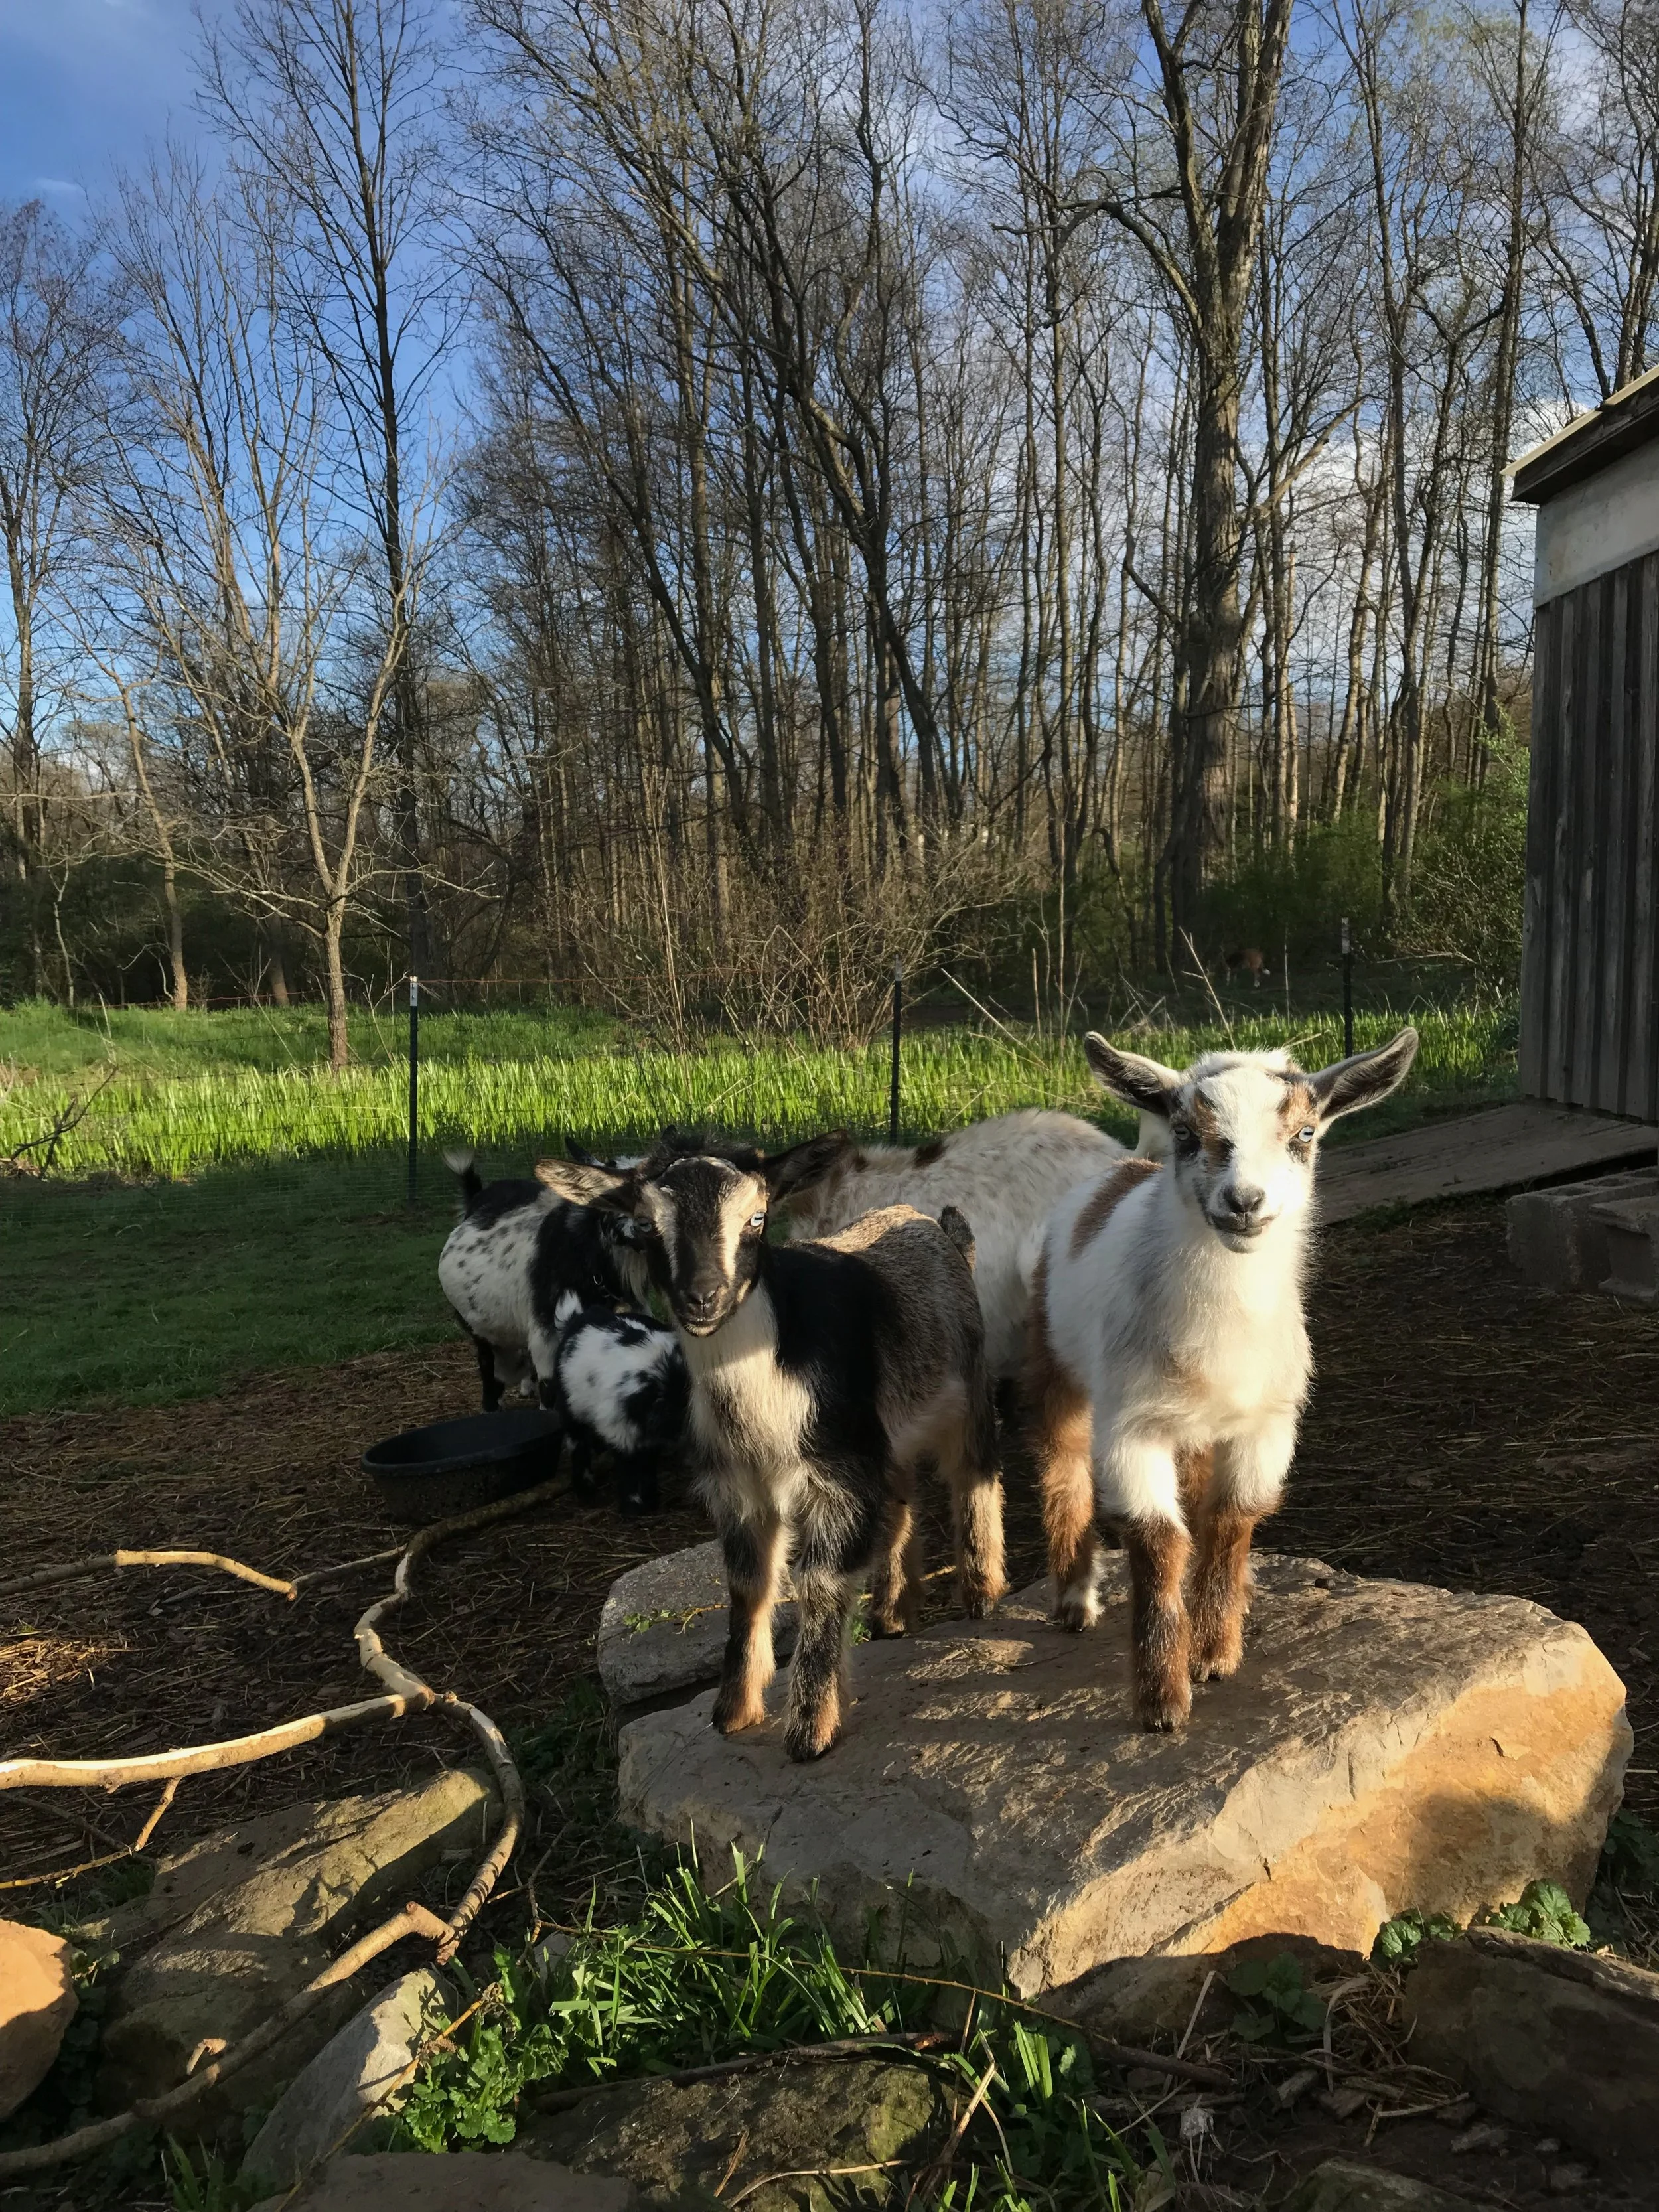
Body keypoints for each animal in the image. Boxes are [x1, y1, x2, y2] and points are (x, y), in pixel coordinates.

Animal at [548, 1293, 688, 1516]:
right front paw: (634, 1506)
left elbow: (648, 1465)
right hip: (571, 1407)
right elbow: (629, 1467)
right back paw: (585, 1490)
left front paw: (650, 1501)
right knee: (578, 1445)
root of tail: (575, 1320)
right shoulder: (621, 1431)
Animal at [1028, 1027, 1418, 1731]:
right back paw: (1074, 1599)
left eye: (1305, 1133)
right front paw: (1162, 1700)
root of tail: (1129, 1168)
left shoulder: (1268, 1423)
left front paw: (1214, 1651)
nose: (1244, 1202)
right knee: (1062, 1461)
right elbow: (1157, 1539)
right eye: (1188, 1132)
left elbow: (1232, 1519)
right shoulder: (1131, 1426)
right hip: (1055, 1359)